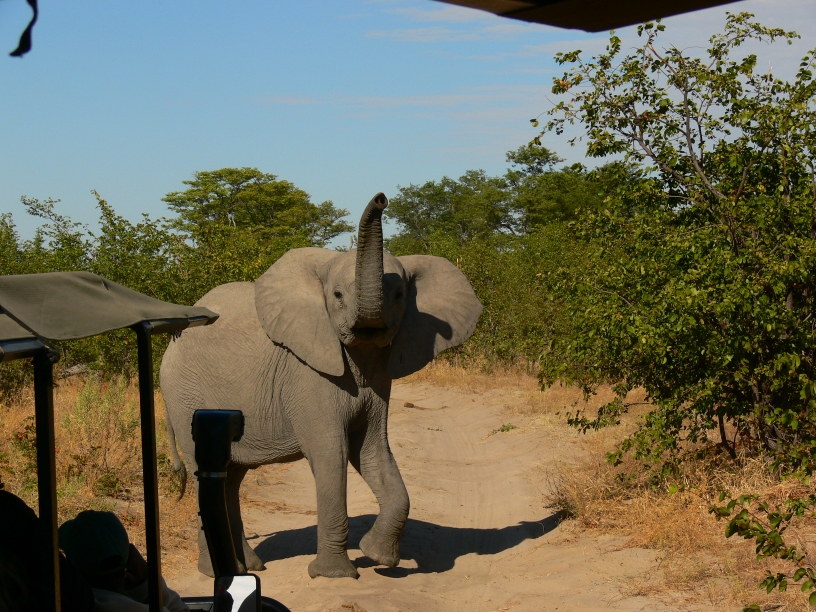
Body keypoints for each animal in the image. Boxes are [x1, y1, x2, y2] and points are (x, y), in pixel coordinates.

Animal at [159, 193, 482, 579]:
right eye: (338, 295)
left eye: (400, 295)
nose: (381, 198)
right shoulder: (308, 374)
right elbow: (332, 452)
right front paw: (336, 575)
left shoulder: (377, 379)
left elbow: (372, 450)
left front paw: (378, 557)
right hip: (184, 396)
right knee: (206, 471)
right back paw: (219, 573)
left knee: (230, 476)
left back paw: (246, 567)